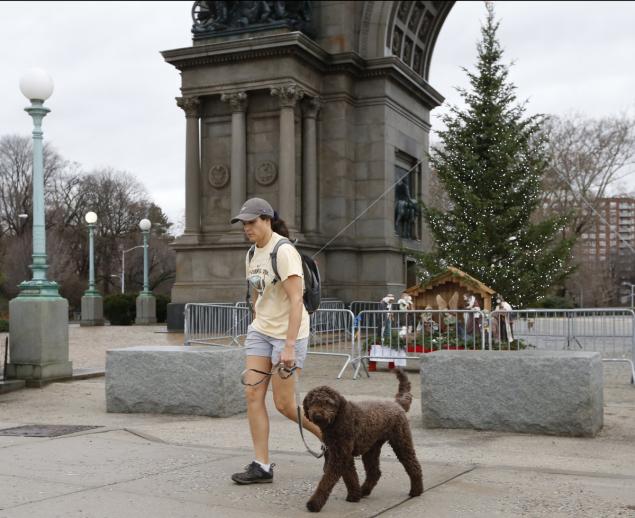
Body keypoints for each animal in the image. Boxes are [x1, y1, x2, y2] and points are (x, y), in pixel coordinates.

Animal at [302, 372, 422, 512]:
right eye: (312, 402)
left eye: (328, 402)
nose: (317, 415)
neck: (338, 419)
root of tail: (396, 404)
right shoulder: (343, 455)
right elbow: (350, 476)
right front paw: (354, 495)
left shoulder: (340, 456)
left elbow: (327, 480)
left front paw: (314, 503)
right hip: (371, 449)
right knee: (374, 472)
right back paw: (363, 490)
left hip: (401, 443)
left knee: (414, 465)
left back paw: (416, 491)